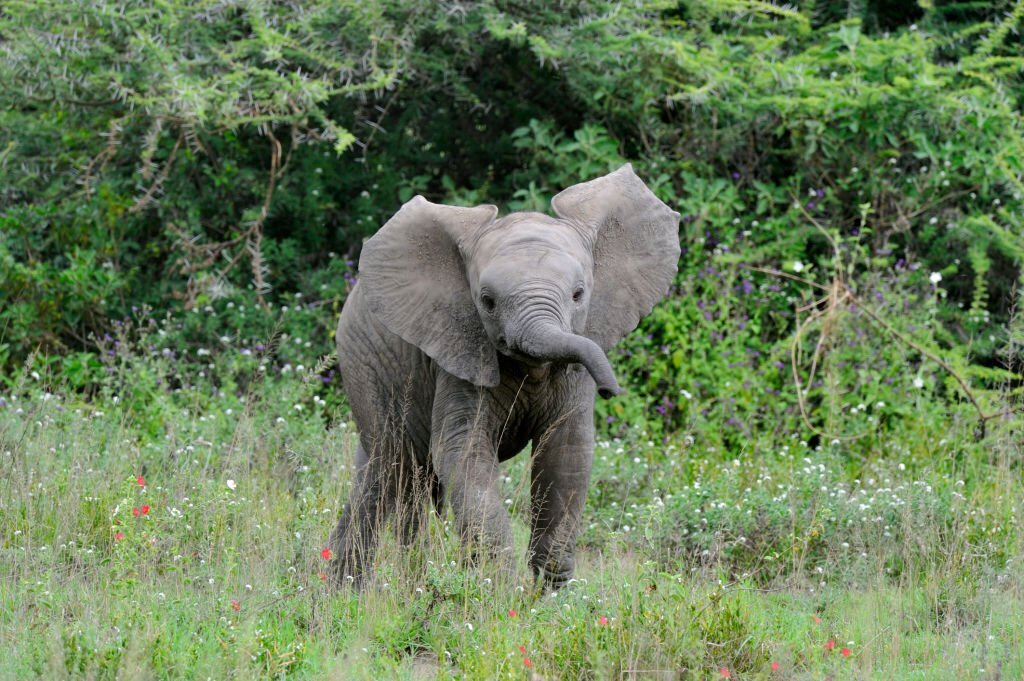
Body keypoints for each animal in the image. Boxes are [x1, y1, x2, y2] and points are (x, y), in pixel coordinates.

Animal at [328, 164, 680, 588]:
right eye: (487, 301)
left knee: (376, 475)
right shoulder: (459, 355)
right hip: (364, 363)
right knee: (391, 470)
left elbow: (567, 452)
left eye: (579, 294)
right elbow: (463, 451)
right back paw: (365, 593)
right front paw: (497, 588)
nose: (612, 390)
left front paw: (547, 590)